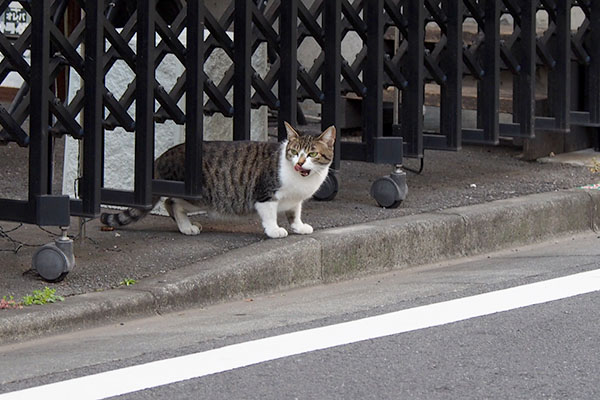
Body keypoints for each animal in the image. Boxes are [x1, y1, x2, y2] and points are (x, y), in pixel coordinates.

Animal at [100, 122, 336, 238]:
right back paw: (186, 227)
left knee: (170, 203)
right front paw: (274, 230)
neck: (302, 180)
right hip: (201, 195)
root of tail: (160, 158)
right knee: (171, 202)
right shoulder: (265, 194)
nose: (300, 163)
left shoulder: (295, 200)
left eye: (312, 154)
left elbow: (295, 213)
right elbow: (269, 215)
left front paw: (299, 227)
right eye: (294, 152)